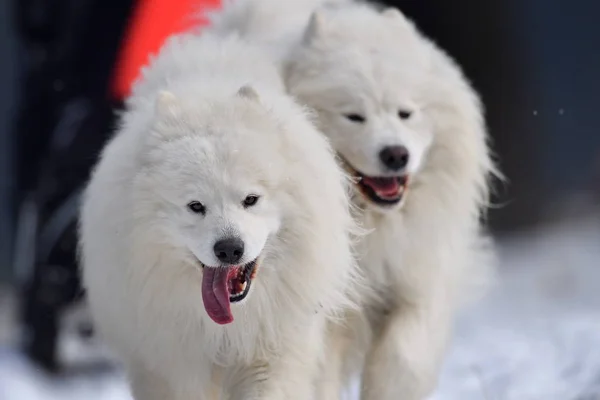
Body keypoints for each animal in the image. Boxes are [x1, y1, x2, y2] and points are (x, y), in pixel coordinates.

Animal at [77, 32, 358, 400]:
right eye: (196, 206)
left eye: (251, 199)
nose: (229, 249)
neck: (227, 330)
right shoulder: (176, 367)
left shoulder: (272, 356)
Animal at [209, 1, 500, 398]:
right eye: (354, 116)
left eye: (405, 113)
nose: (395, 154)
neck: (371, 227)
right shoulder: (331, 315)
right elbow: (324, 373)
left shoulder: (415, 275)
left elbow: (404, 352)